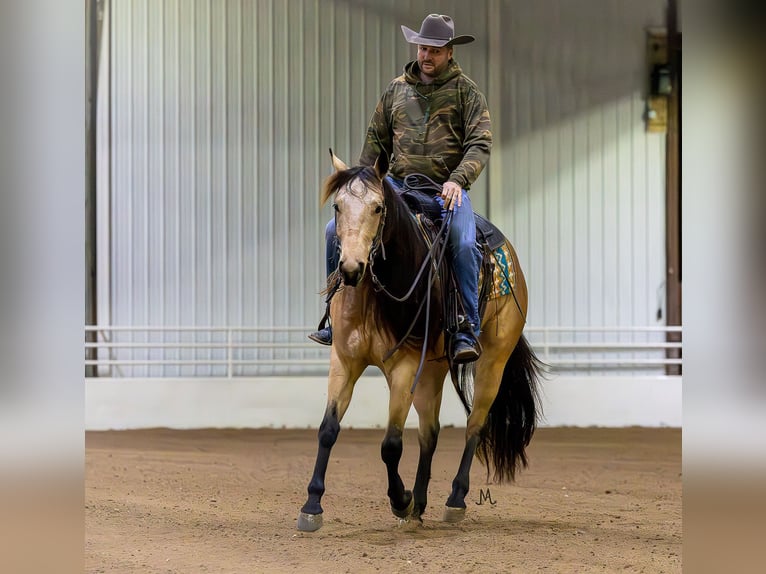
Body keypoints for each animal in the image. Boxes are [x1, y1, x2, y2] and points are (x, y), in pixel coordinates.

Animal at [296, 151, 544, 532]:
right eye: (337, 206)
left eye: (378, 208)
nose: (351, 268)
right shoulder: (344, 360)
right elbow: (328, 429)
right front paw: (312, 505)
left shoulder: (404, 364)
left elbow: (391, 444)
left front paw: (400, 501)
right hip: (432, 370)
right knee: (431, 432)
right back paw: (421, 504)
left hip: (492, 361)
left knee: (475, 426)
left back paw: (453, 500)